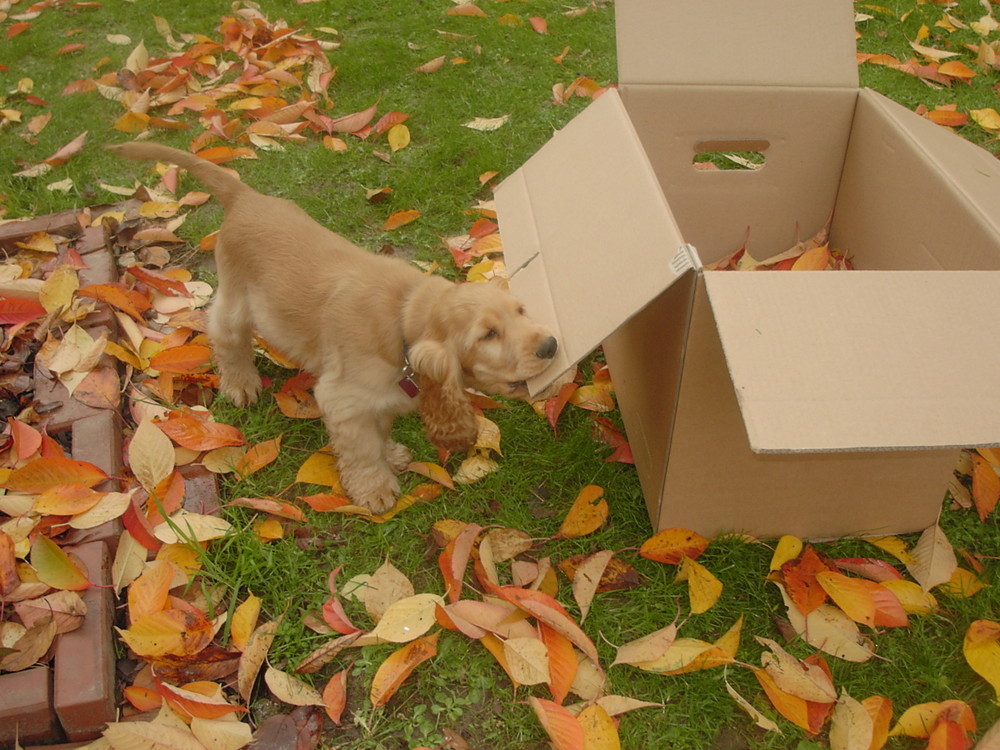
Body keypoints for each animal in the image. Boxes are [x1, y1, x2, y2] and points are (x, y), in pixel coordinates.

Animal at [115, 142, 564, 512]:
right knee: (225, 336)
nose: (550, 345)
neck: (402, 317)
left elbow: (379, 430)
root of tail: (246, 197)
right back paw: (241, 384)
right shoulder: (342, 399)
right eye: (488, 334)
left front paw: (392, 454)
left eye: (521, 311)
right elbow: (362, 449)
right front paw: (374, 489)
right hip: (237, 303)